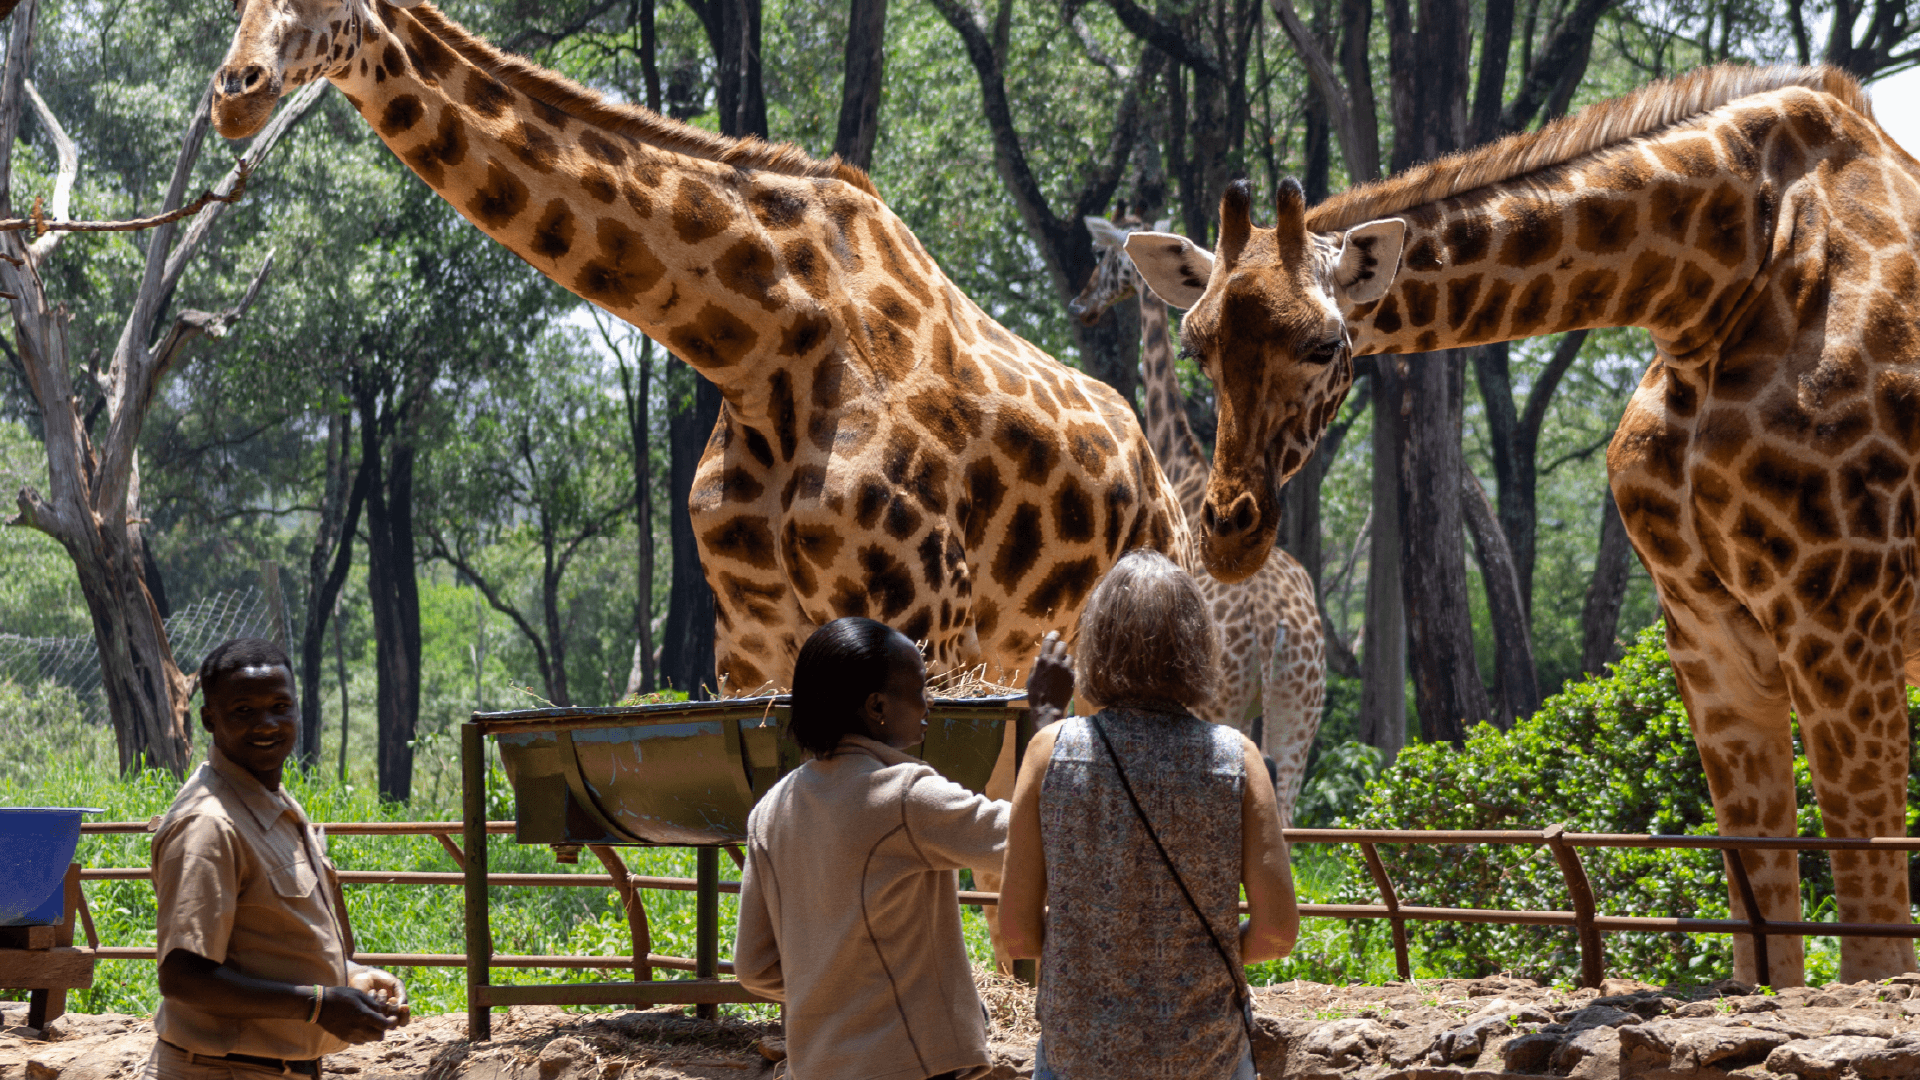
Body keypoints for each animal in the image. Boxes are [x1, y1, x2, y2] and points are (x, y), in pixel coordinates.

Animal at [1070, 212, 1326, 818]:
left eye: (1103, 252)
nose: (1080, 303)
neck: (1181, 458)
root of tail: (1275, 626)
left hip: (1222, 697)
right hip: (1298, 713)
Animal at [1129, 65, 1920, 986]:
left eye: (1326, 344)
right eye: (1200, 345)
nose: (1229, 532)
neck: (1710, 293)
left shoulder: (1842, 623)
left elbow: (1873, 949)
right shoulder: (1708, 640)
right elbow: (1765, 944)